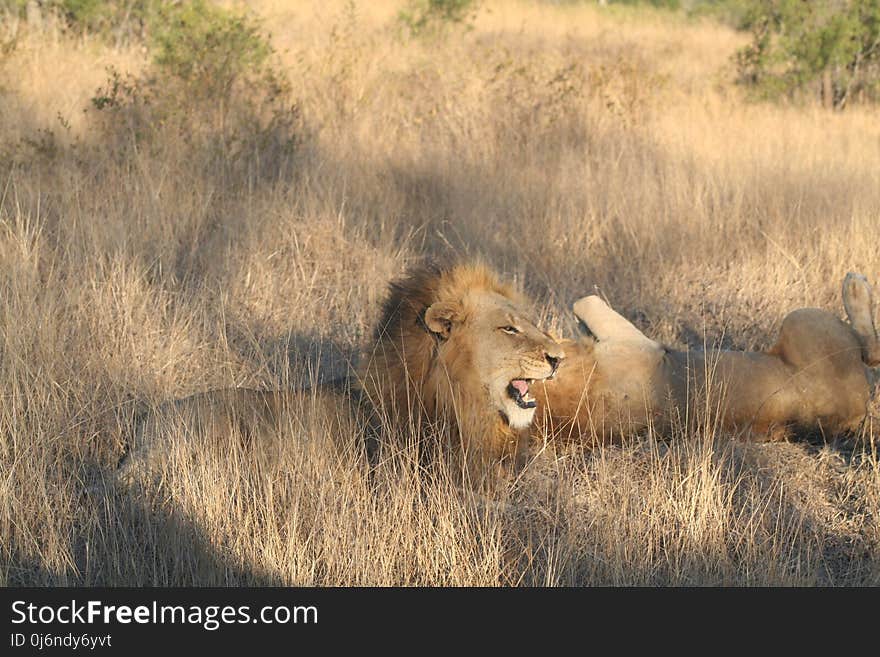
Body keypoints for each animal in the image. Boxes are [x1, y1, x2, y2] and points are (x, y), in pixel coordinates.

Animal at [536, 272, 880, 440]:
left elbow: (580, 305)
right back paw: (855, 285)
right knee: (872, 349)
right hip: (802, 320)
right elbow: (584, 299)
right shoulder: (636, 344)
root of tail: (854, 412)